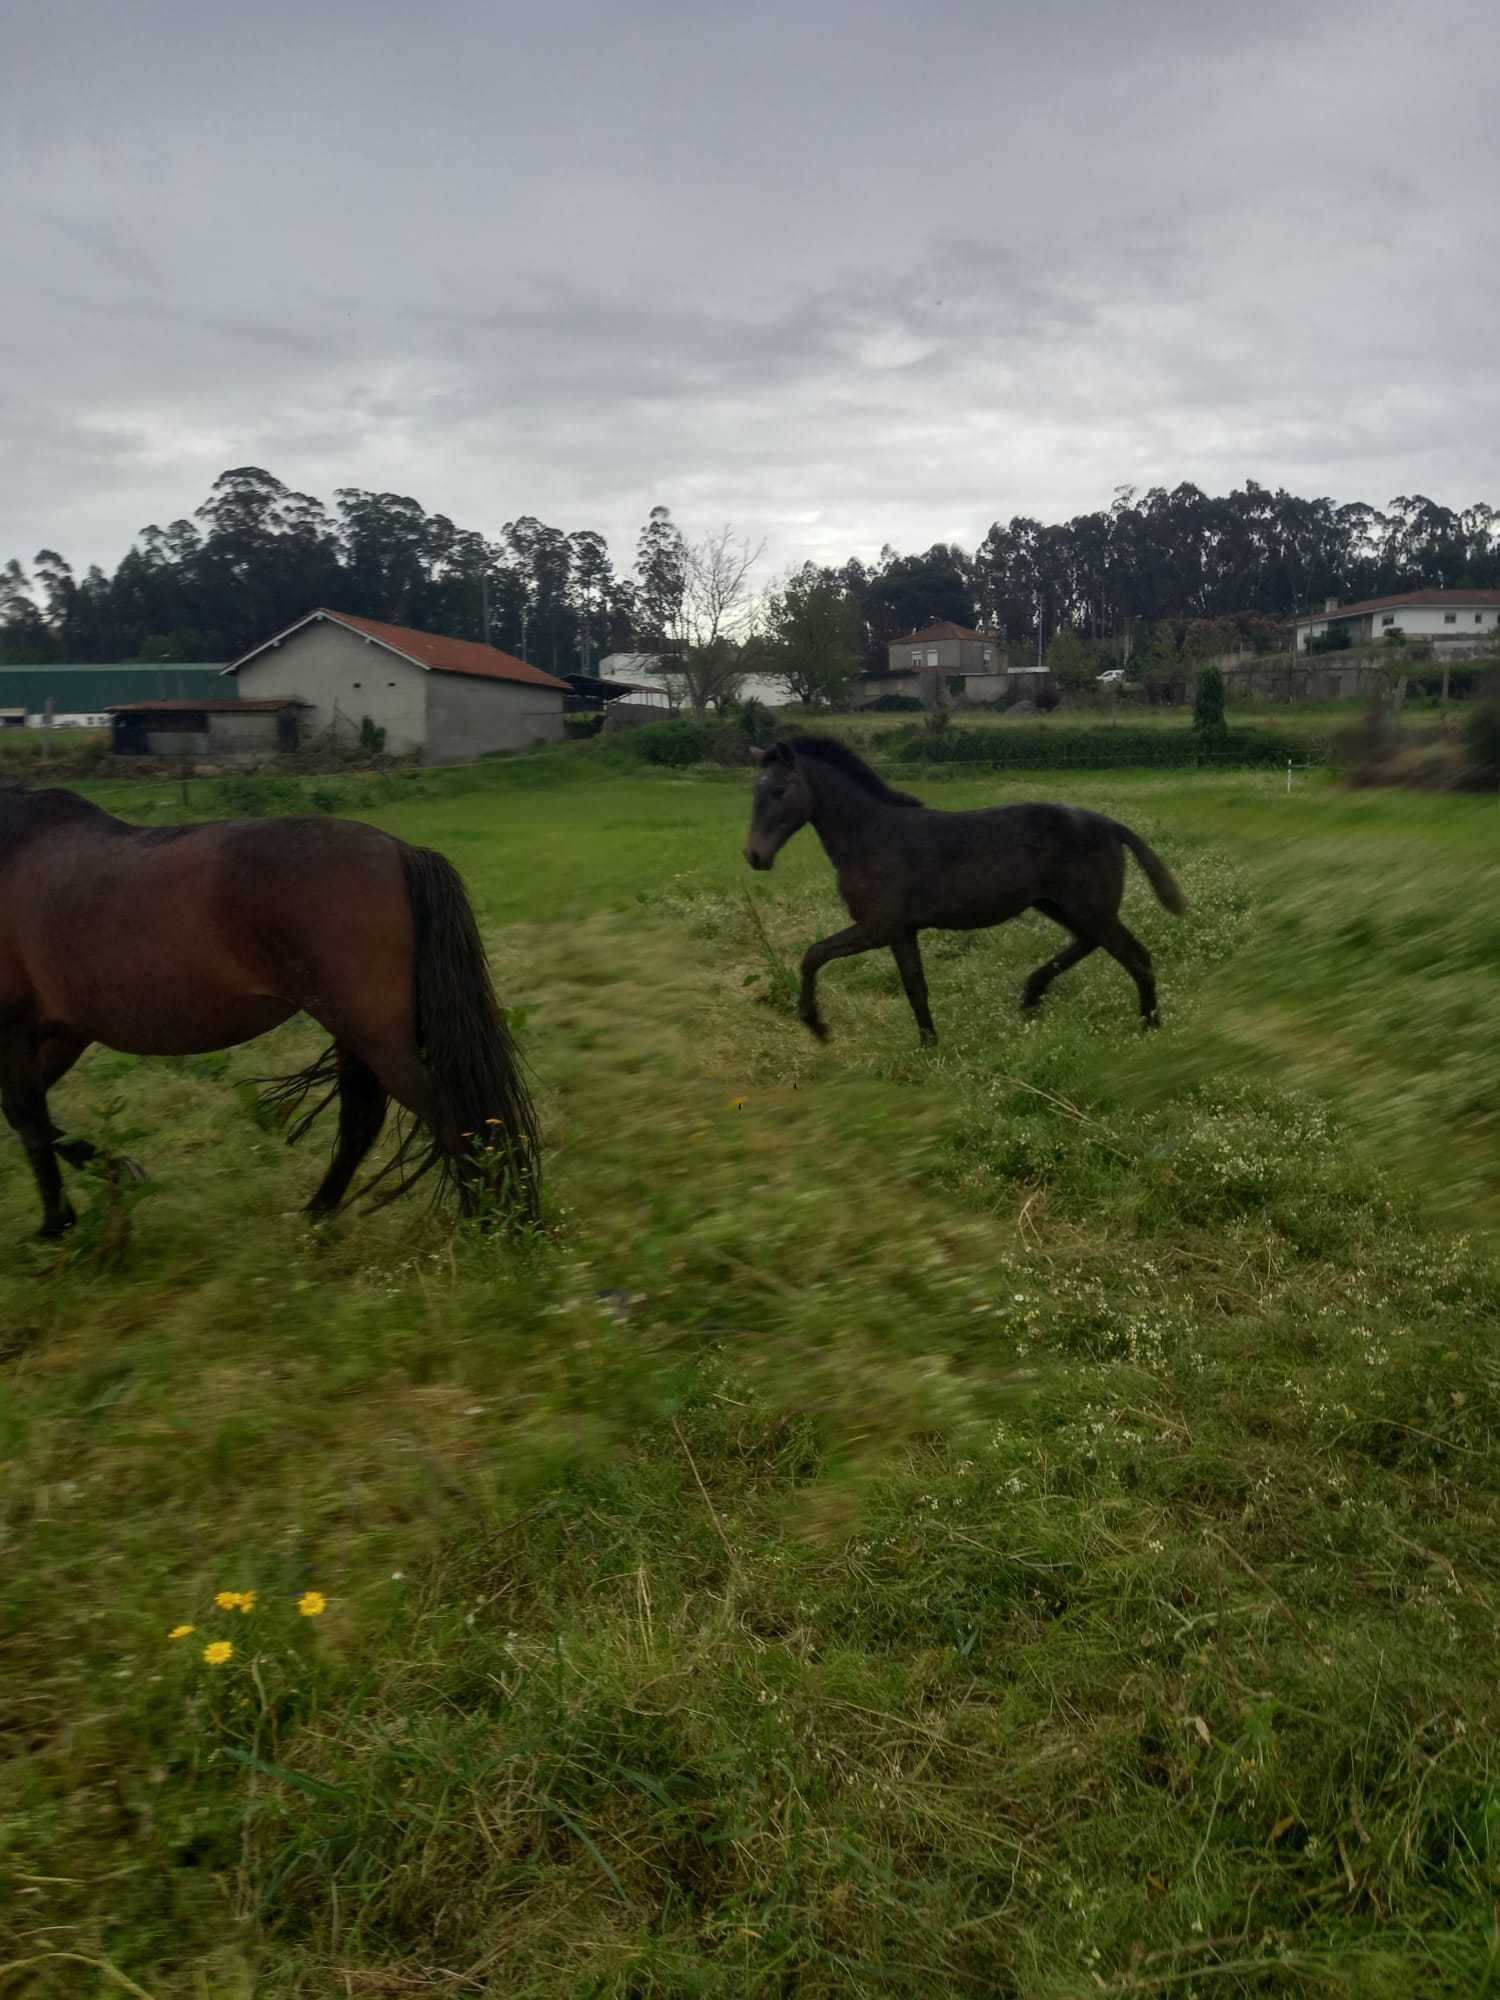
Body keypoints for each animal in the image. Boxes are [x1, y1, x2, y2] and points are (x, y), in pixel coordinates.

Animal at [0, 784, 540, 1232]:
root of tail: (400, 853)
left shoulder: (19, 1029)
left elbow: (27, 1118)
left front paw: (57, 1224)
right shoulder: (61, 1031)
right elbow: (27, 1114)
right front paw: (120, 1173)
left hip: (373, 1034)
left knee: (445, 1110)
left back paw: (488, 1225)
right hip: (358, 1030)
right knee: (366, 1119)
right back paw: (318, 1216)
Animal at [748, 736, 1192, 1048]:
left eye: (779, 791)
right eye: (754, 792)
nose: (754, 855)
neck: (870, 835)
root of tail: (1110, 826)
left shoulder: (878, 926)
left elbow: (813, 955)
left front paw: (816, 1025)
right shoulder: (900, 931)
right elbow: (915, 987)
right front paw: (930, 1048)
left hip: (1089, 909)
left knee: (1137, 958)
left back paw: (1149, 1027)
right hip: (1059, 905)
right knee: (1088, 943)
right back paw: (1031, 995)